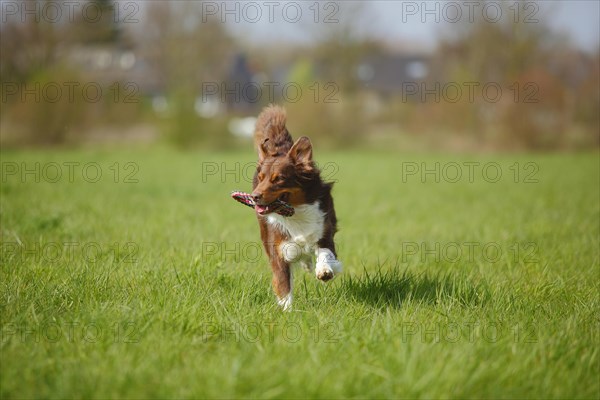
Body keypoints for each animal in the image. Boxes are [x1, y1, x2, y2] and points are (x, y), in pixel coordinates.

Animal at [252, 104, 342, 310]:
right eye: (260, 179)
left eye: (278, 179)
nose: (254, 197)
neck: (295, 212)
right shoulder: (278, 250)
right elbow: (283, 284)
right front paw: (288, 311)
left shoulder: (324, 233)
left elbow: (326, 254)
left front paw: (324, 270)